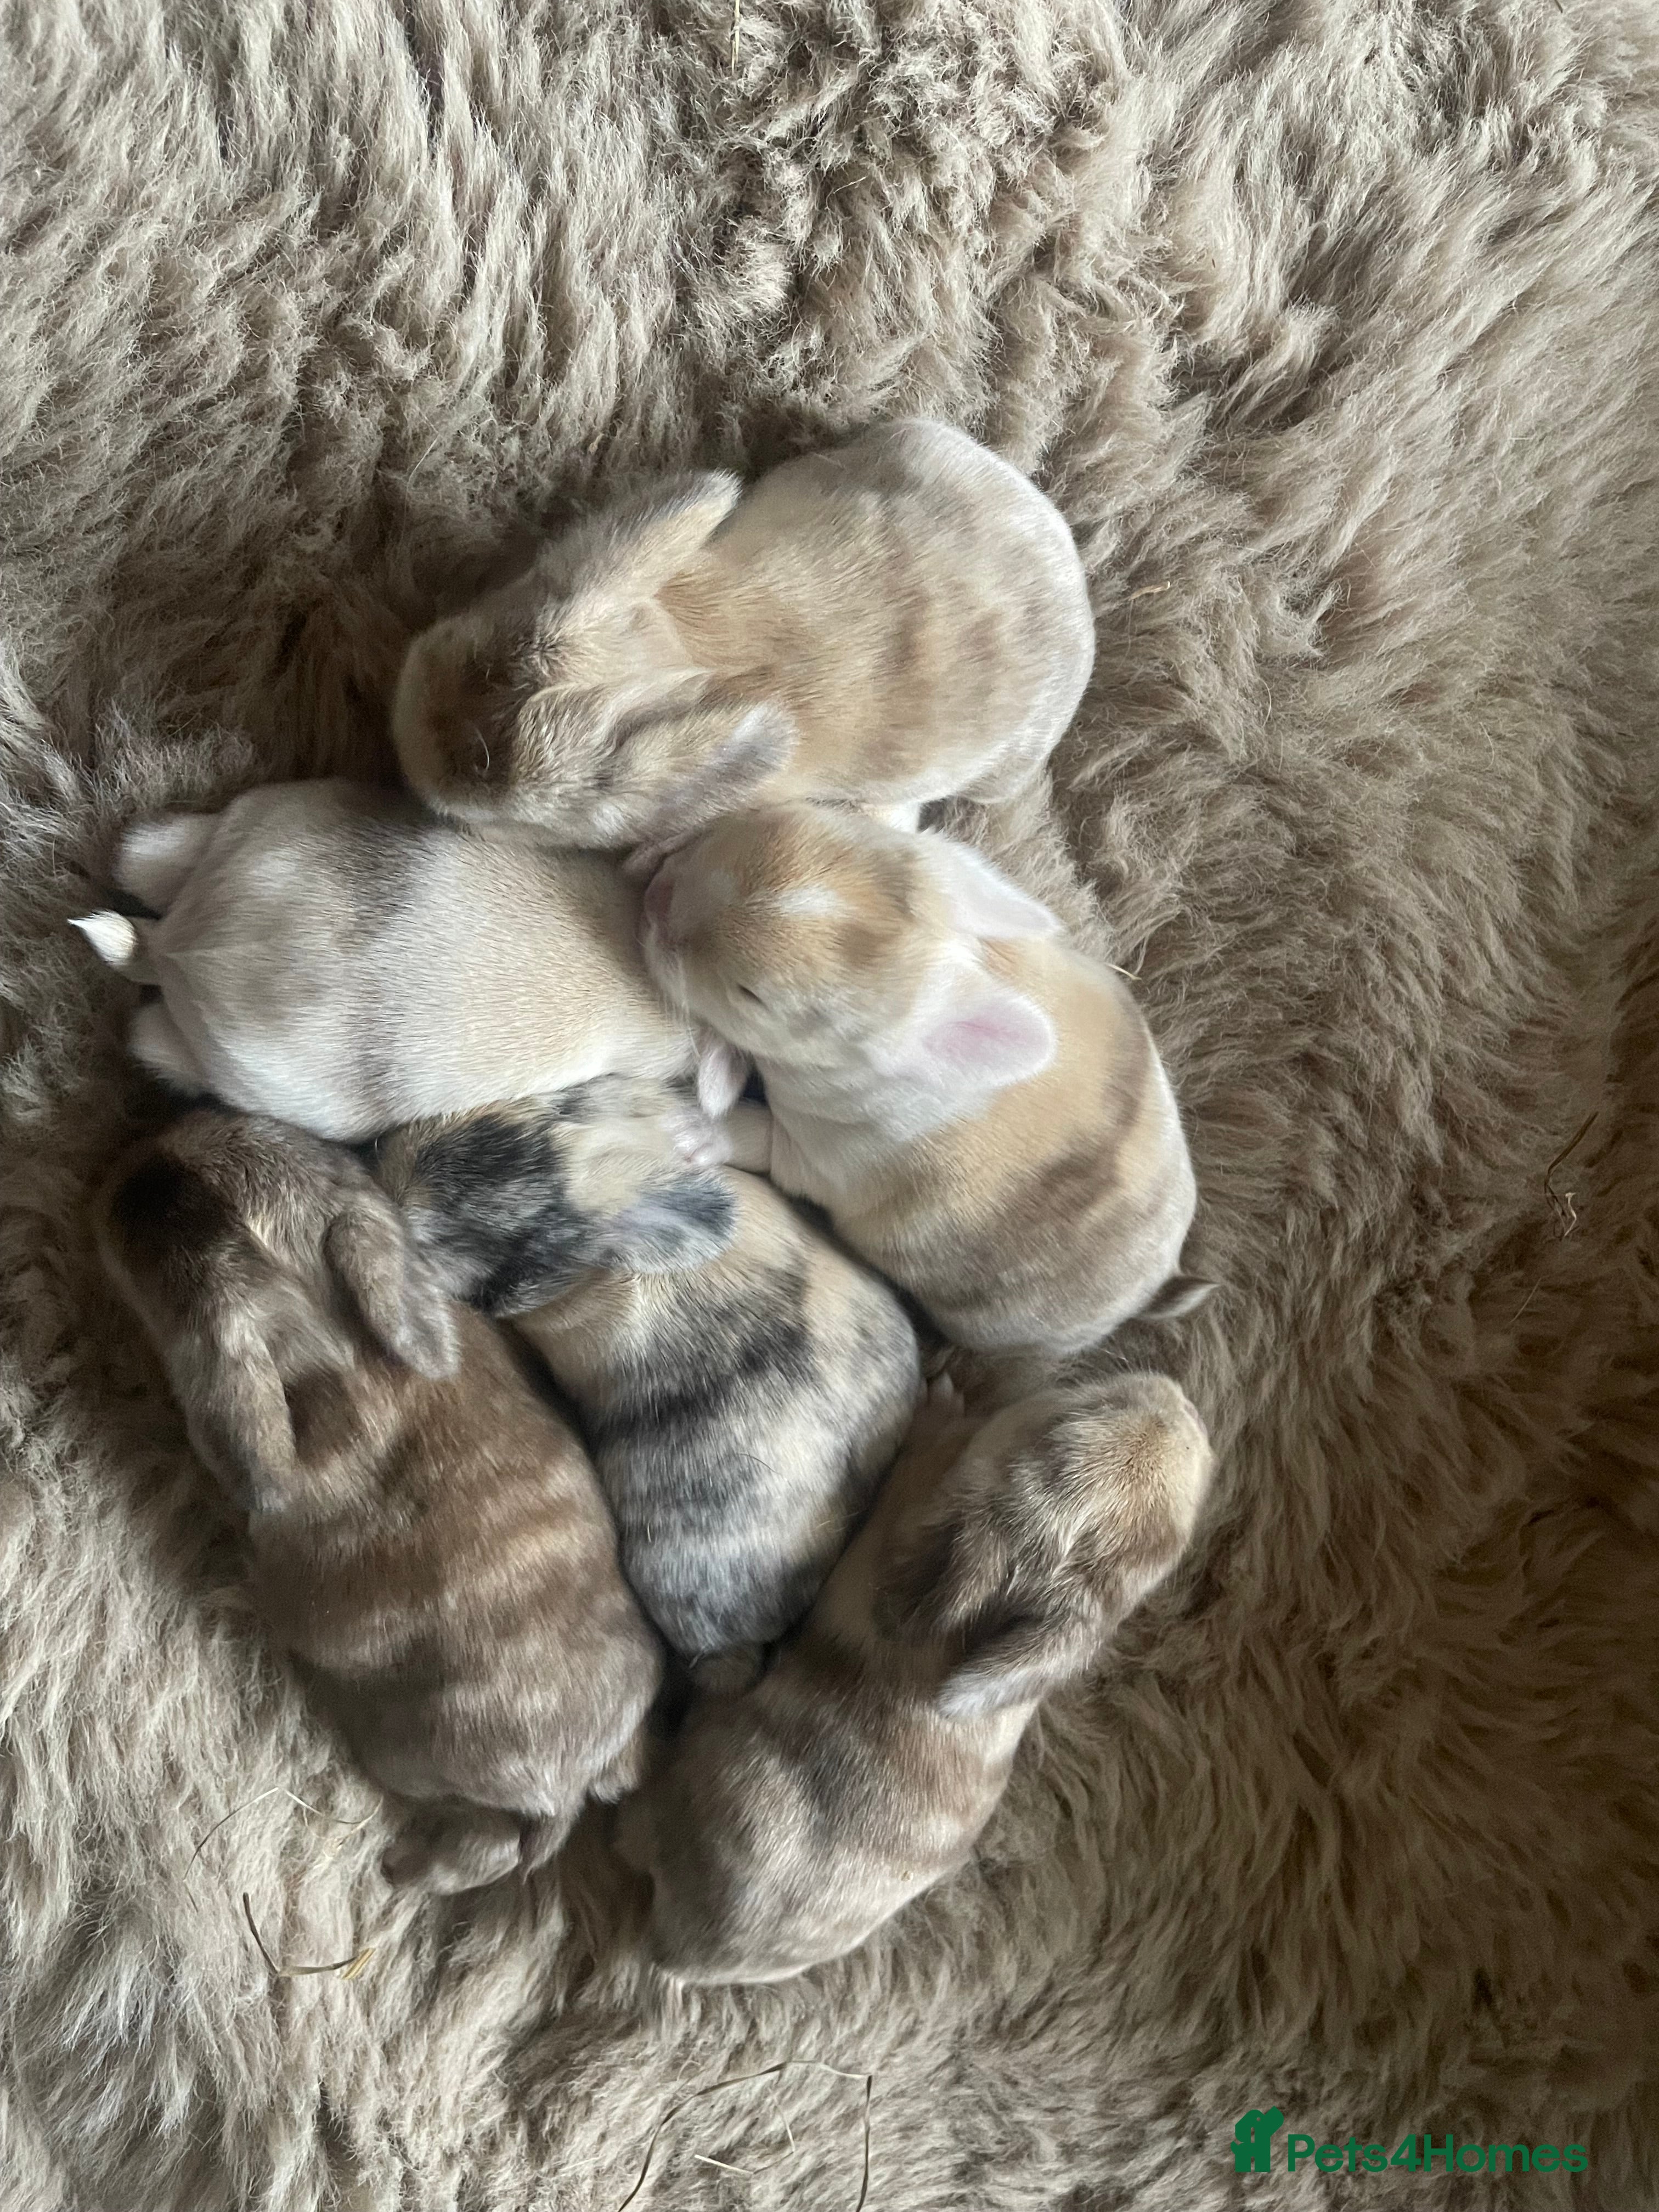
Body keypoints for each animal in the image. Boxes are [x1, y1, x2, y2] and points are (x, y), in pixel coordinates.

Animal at [94, 1107, 662, 1893]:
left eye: (141, 1215)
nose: (130, 1157)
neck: (341, 1351)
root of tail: (567, 1787)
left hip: (428, 1769)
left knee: (486, 1848)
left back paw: (406, 1869)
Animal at [617, 1370, 1214, 1983]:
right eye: (1079, 1411)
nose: (1184, 1402)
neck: (983, 1622)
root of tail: (674, 1950)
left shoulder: (914, 1494)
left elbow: (922, 1453)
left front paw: (940, 1408)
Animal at [638, 802, 1211, 1356]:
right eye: (773, 819)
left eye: (750, 996)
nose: (659, 894)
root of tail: (1153, 1291)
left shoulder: (816, 1155)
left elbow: (755, 1135)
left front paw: (687, 1127)